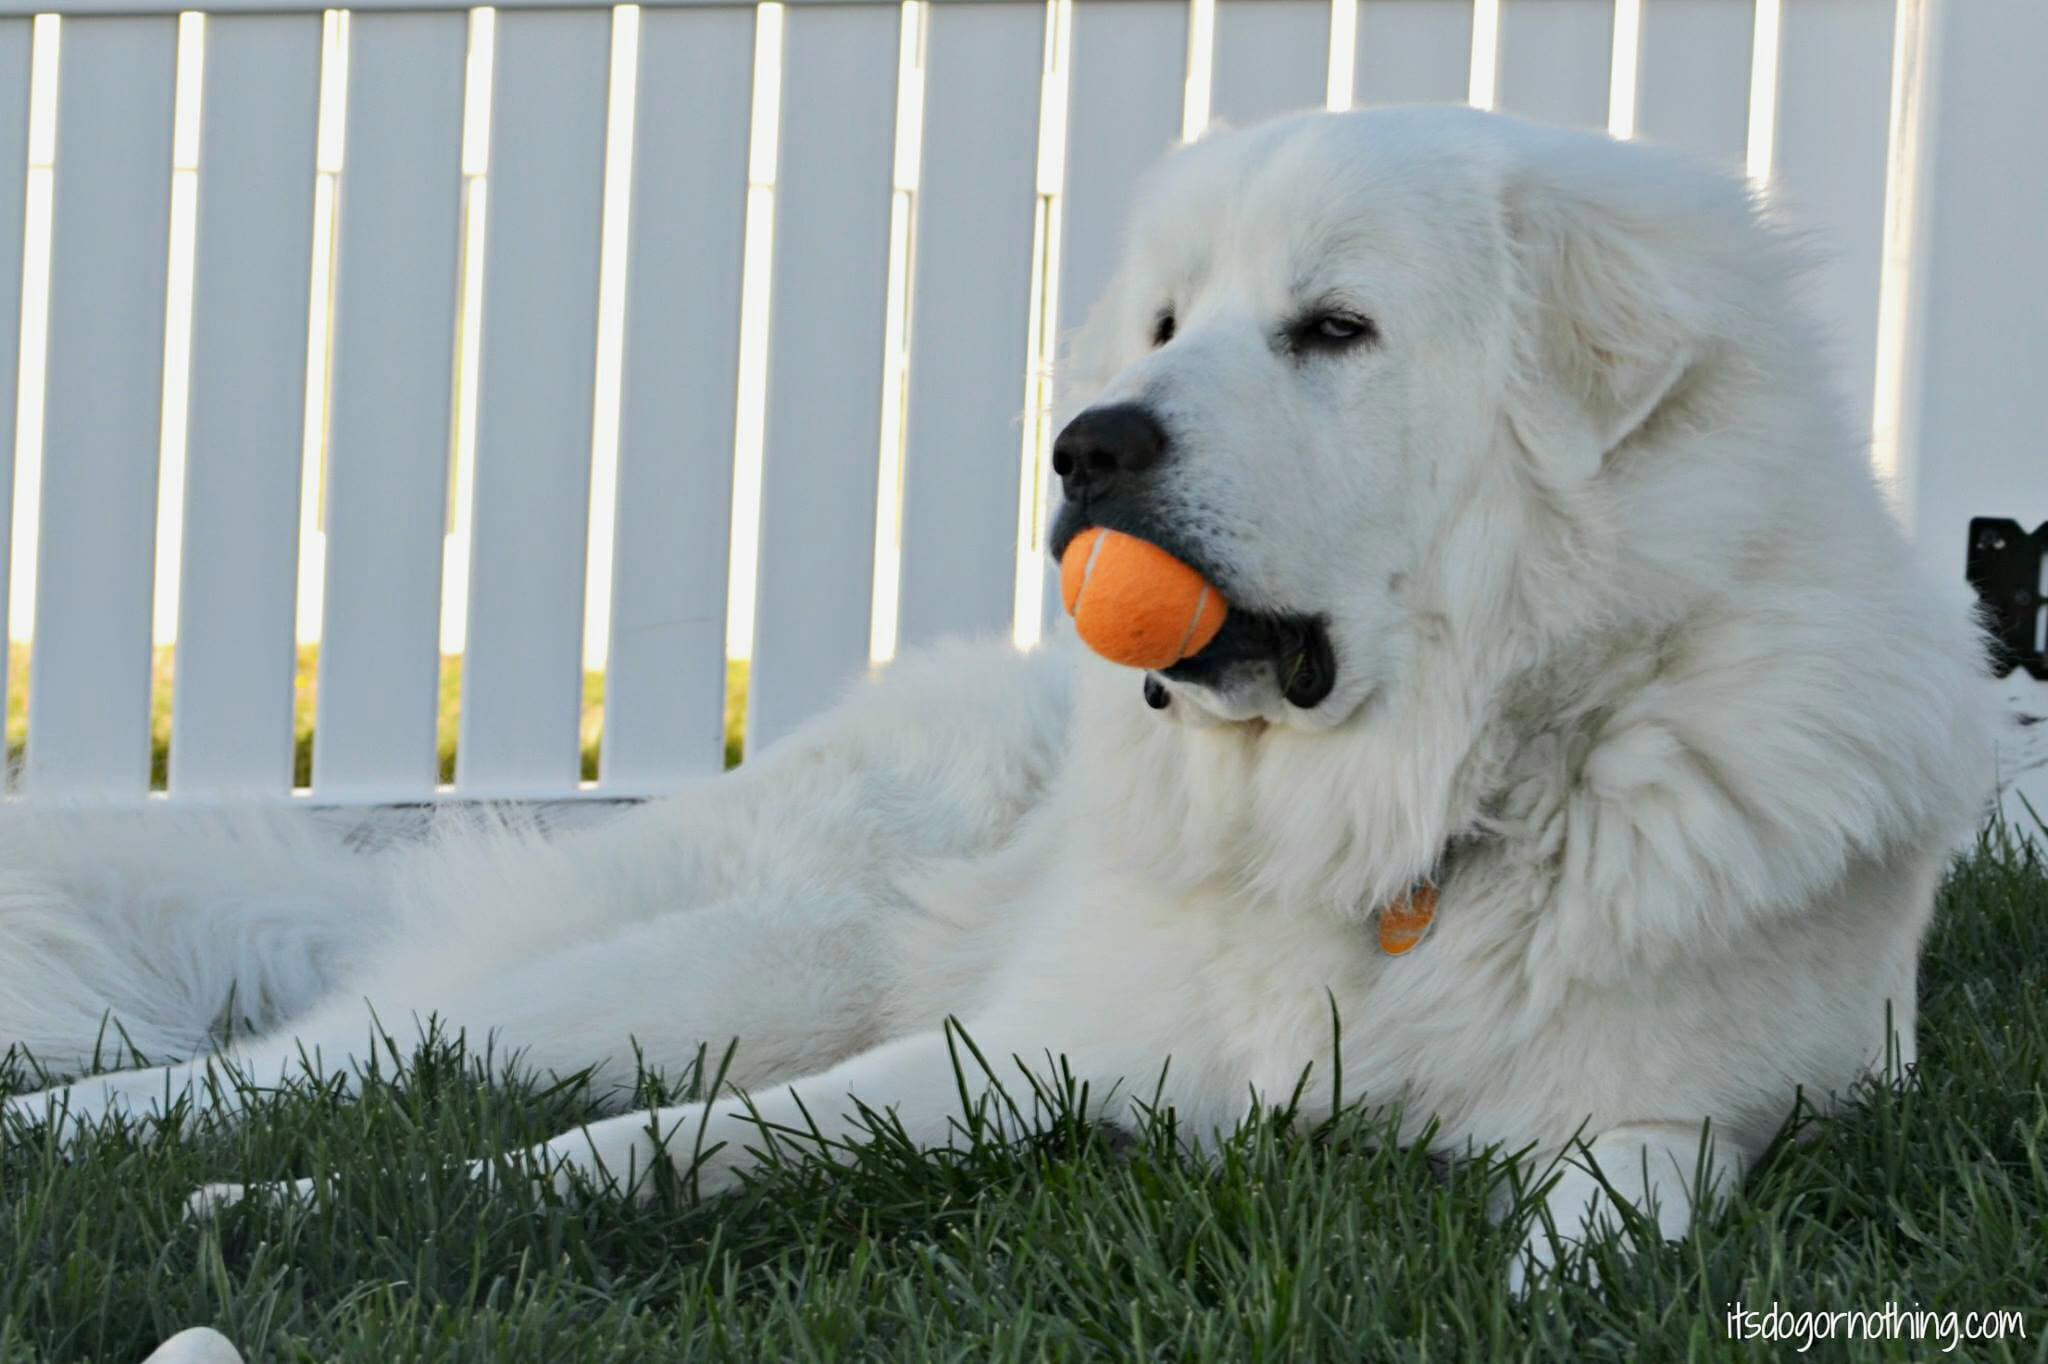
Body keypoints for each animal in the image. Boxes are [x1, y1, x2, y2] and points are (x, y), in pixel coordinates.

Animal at [0, 103, 1998, 1277]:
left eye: (1333, 330)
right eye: (1168, 322)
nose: (1086, 448)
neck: (1395, 822)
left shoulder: (1694, 1109)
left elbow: (1613, 1212)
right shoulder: (1018, 1049)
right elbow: (631, 1147)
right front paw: (301, 1220)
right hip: (706, 967)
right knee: (323, 1059)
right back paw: (88, 1143)